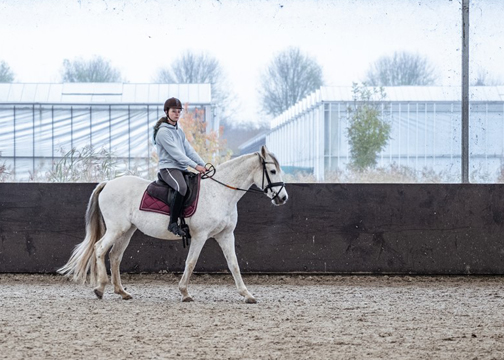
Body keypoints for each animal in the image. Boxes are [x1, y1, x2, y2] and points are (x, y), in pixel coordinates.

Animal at [58, 145, 288, 302]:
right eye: (273, 171)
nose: (283, 198)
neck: (219, 192)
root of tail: (107, 183)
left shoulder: (225, 235)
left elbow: (234, 264)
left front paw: (247, 294)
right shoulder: (200, 236)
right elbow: (191, 263)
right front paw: (185, 293)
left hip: (127, 230)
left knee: (115, 256)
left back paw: (122, 292)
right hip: (117, 229)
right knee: (99, 249)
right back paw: (100, 288)